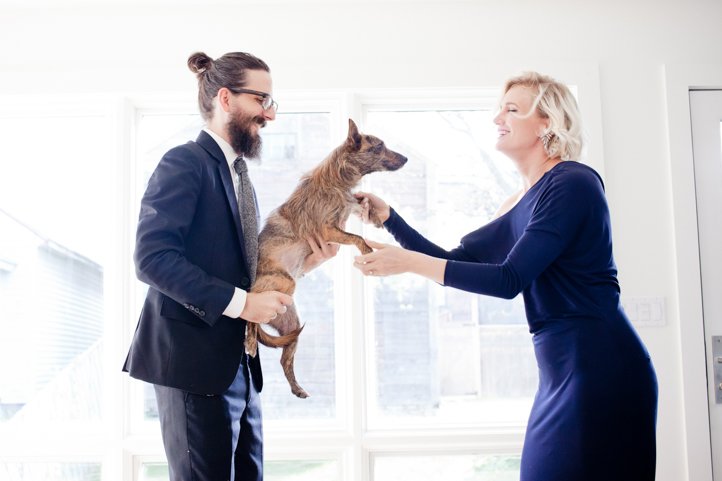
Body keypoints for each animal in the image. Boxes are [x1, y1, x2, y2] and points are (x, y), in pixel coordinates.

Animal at [246, 118, 404, 396]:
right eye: (379, 147)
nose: (405, 159)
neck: (339, 181)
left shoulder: (347, 210)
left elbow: (360, 205)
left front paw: (375, 215)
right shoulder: (328, 230)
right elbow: (357, 237)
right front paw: (367, 250)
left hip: (292, 324)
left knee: (284, 358)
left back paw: (297, 388)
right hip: (281, 284)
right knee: (250, 320)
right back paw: (251, 342)